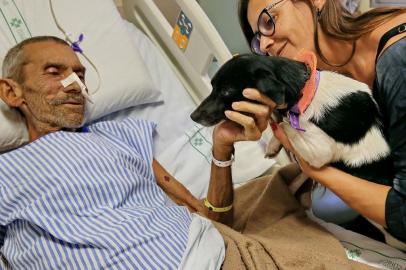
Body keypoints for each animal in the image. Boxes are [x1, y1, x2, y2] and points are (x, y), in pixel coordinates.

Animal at [190, 53, 394, 185]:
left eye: (226, 91)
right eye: (212, 86)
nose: (193, 116)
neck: (305, 90)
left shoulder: (321, 152)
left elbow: (284, 124)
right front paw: (274, 145)